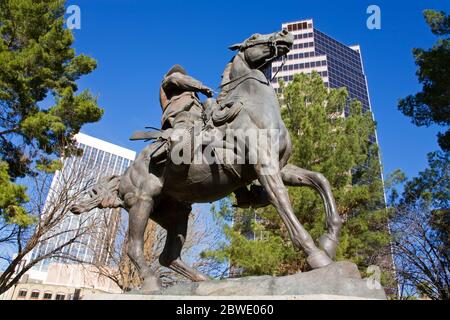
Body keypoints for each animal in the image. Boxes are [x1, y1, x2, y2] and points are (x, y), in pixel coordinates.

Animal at [72, 30, 342, 292]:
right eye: (254, 37)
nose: (286, 34)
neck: (251, 108)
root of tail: (124, 177)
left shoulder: (280, 166)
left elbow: (320, 180)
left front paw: (329, 241)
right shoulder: (264, 165)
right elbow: (283, 201)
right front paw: (315, 254)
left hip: (175, 214)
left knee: (168, 256)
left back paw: (204, 281)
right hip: (142, 202)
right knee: (134, 247)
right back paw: (152, 283)